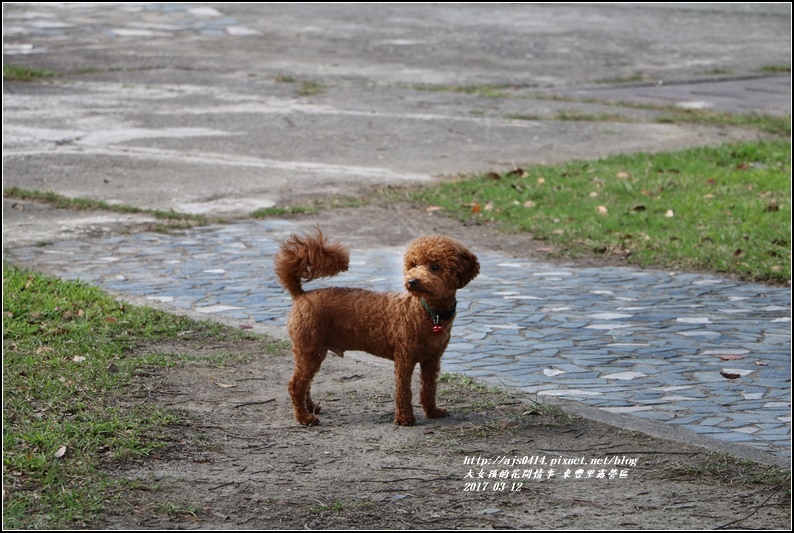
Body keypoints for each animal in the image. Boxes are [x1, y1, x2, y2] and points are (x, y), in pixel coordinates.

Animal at [276, 229, 480, 424]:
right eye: (414, 264)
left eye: (435, 266)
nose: (412, 281)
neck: (428, 312)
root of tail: (300, 295)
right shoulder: (404, 358)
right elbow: (403, 391)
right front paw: (404, 419)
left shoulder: (432, 360)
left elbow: (429, 389)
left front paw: (432, 412)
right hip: (309, 349)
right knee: (296, 385)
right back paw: (304, 418)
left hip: (313, 351)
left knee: (306, 384)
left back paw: (310, 409)